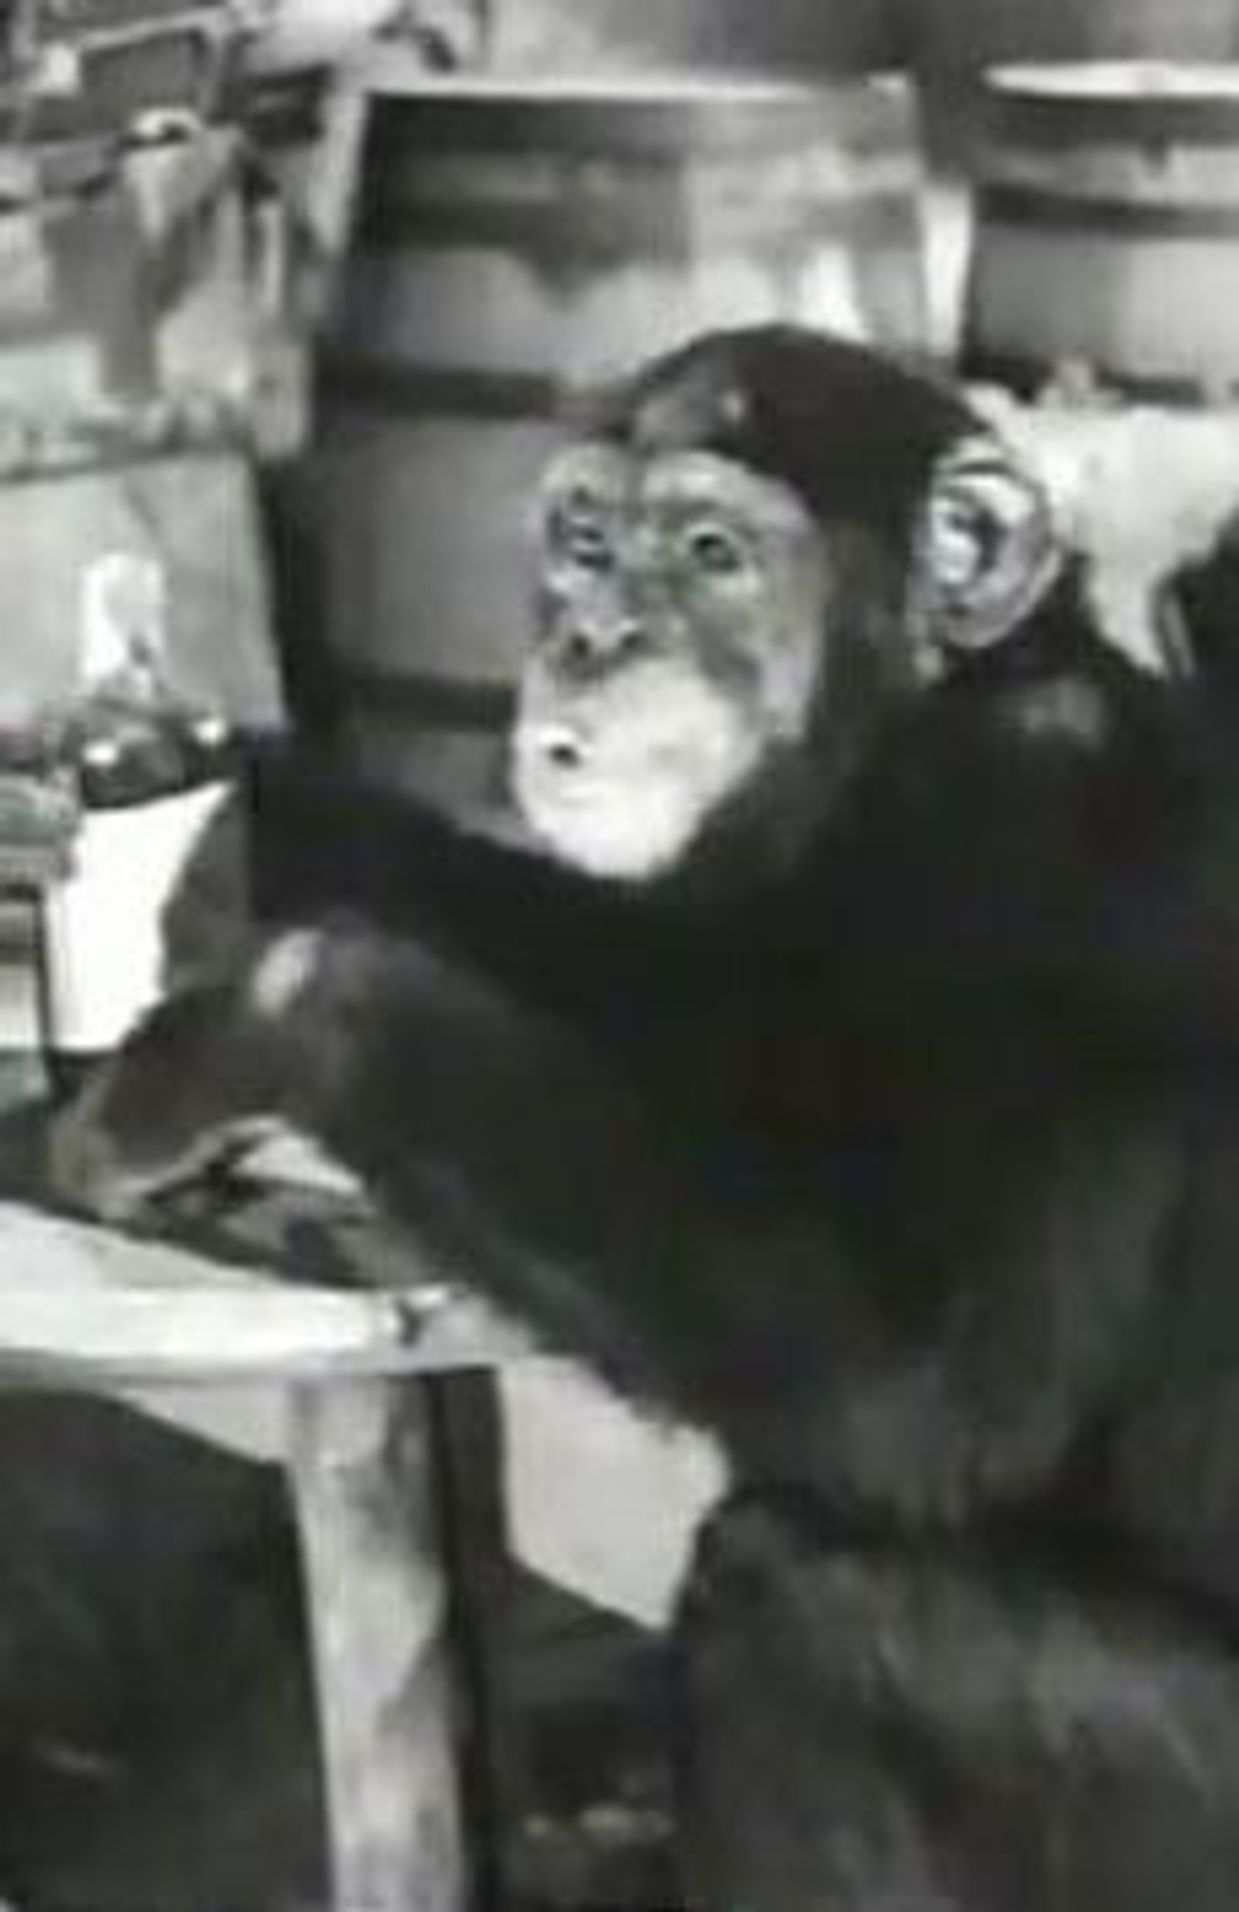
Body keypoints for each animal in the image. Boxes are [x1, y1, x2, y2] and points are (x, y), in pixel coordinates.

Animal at [47, 325, 1239, 1909]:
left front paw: (250, 1024)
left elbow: (926, 1381)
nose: (591, 638)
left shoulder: (1043, 845)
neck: (909, 740)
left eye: (714, 552)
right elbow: (671, 998)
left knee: (804, 1610)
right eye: (586, 543)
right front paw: (251, 834)